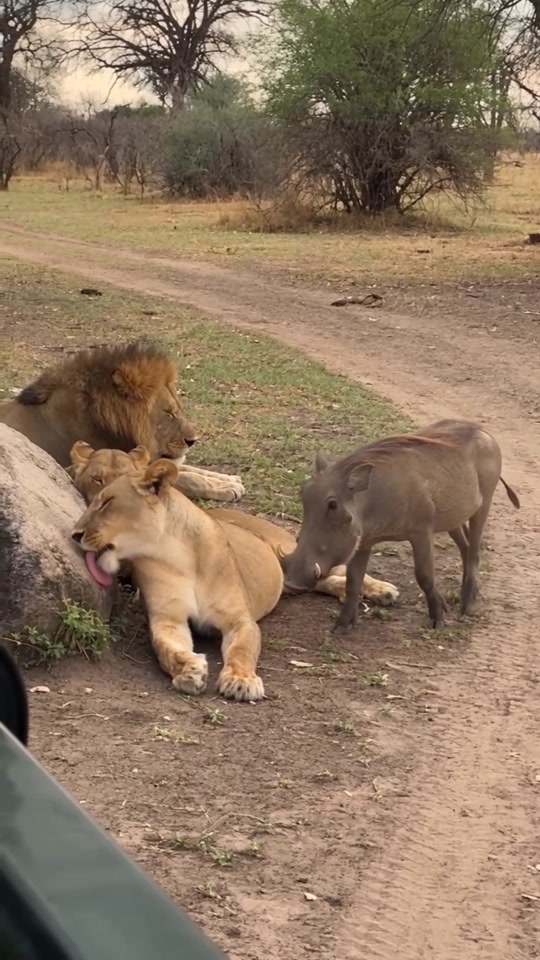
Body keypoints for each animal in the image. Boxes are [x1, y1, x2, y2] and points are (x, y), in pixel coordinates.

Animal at [0, 341, 244, 503]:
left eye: (177, 409)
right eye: (168, 413)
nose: (193, 440)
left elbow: (189, 468)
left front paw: (229, 478)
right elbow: (187, 477)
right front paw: (227, 488)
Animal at [70, 445, 400, 701]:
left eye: (107, 502)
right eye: (93, 491)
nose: (75, 533)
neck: (170, 553)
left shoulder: (239, 620)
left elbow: (242, 650)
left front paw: (241, 682)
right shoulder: (167, 619)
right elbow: (167, 648)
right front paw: (188, 670)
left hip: (288, 549)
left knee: (339, 568)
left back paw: (382, 590)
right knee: (323, 580)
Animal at [280, 420, 520, 633]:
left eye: (332, 504)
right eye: (304, 492)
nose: (291, 581)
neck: (372, 501)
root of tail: (484, 432)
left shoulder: (421, 531)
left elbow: (424, 576)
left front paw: (438, 619)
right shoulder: (363, 542)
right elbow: (353, 581)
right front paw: (342, 627)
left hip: (484, 502)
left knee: (475, 550)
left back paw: (467, 604)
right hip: (454, 516)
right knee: (466, 546)